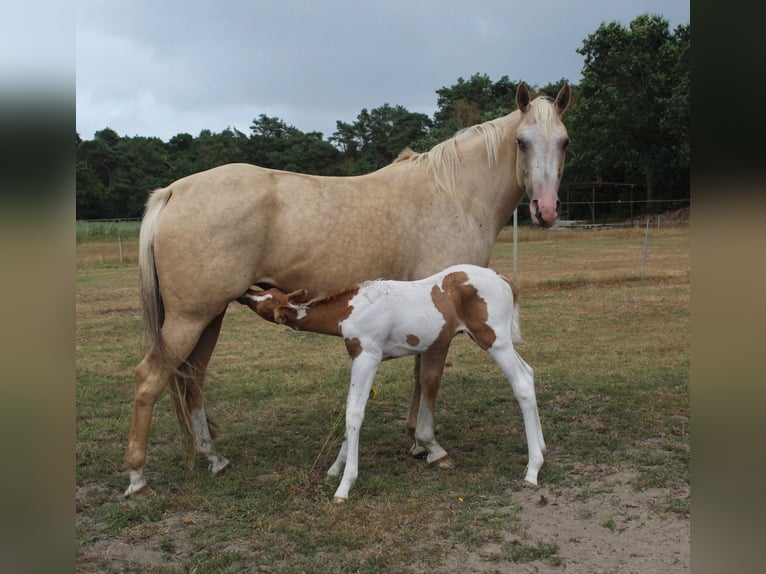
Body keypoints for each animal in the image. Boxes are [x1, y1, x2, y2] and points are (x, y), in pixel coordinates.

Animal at [238, 264, 543, 501]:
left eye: (263, 298)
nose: (243, 292)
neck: (353, 309)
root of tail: (502, 278)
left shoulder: (368, 356)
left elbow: (354, 413)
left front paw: (344, 486)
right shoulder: (359, 358)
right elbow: (350, 408)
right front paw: (335, 468)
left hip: (494, 340)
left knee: (521, 384)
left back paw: (533, 469)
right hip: (498, 341)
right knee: (529, 373)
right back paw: (541, 448)